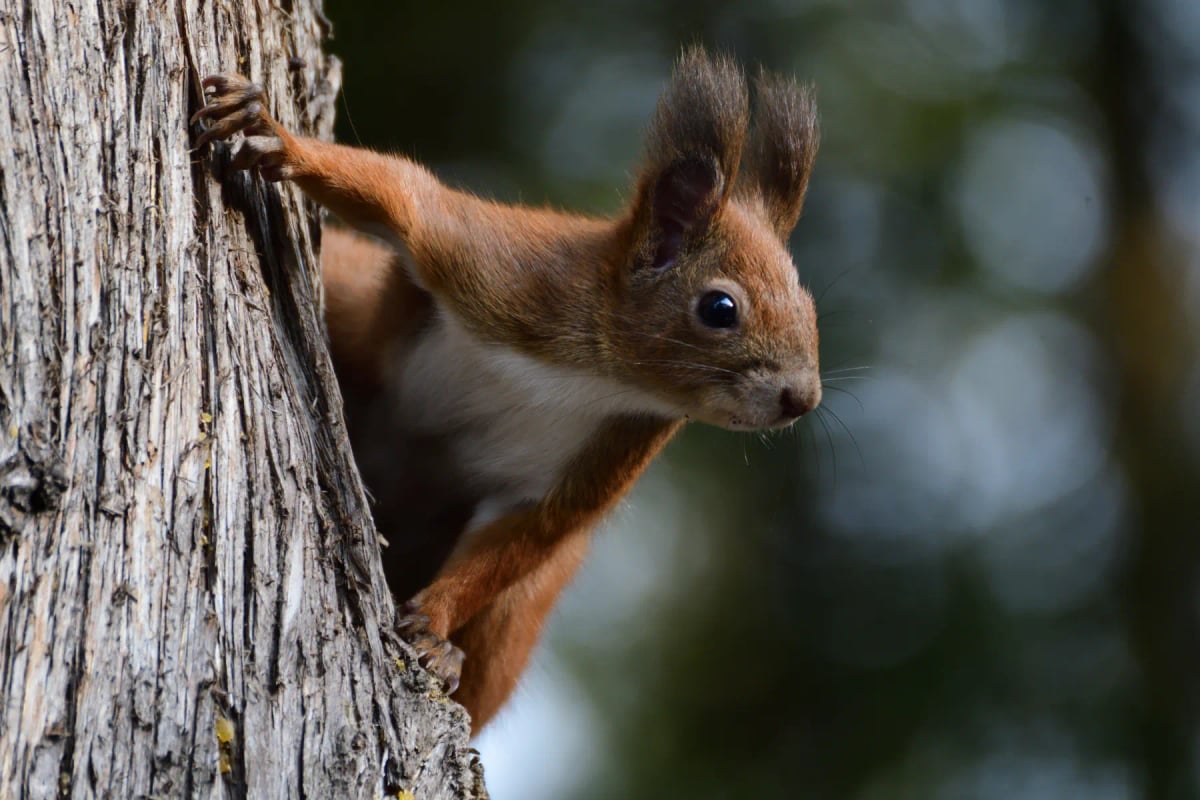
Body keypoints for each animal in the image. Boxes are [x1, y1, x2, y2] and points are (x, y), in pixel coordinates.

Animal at [192, 47, 821, 731]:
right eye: (720, 308)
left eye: (810, 305)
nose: (803, 399)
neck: (596, 377)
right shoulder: (501, 269)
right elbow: (406, 196)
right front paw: (274, 134)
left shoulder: (610, 451)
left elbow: (525, 535)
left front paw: (433, 628)